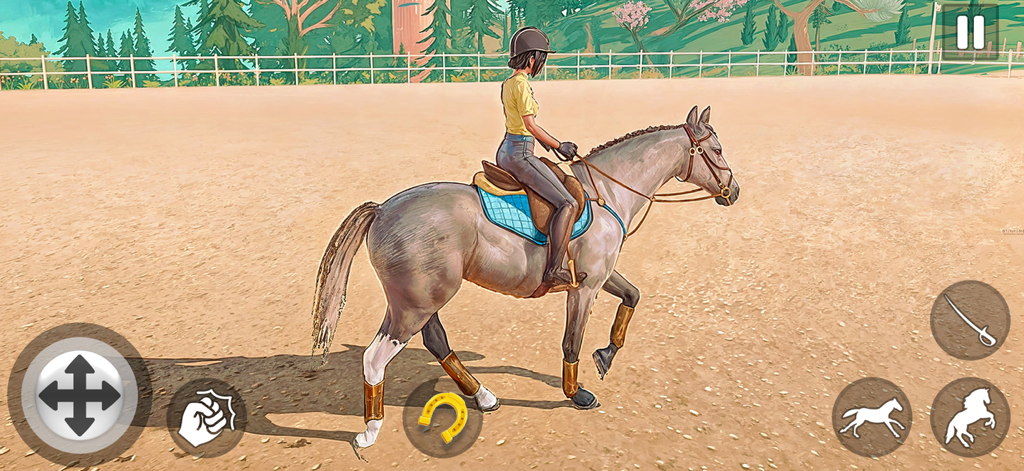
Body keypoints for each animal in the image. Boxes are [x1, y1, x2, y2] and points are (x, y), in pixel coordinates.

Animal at [308, 105, 741, 449]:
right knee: (375, 358)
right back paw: (369, 431)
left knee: (436, 342)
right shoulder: (585, 287)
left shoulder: (602, 275)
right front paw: (577, 393)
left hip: (425, 299)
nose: (733, 191)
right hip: (413, 305)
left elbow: (632, 296)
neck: (606, 193)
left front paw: (605, 356)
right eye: (717, 150)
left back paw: (484, 397)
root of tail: (383, 209)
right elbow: (571, 341)